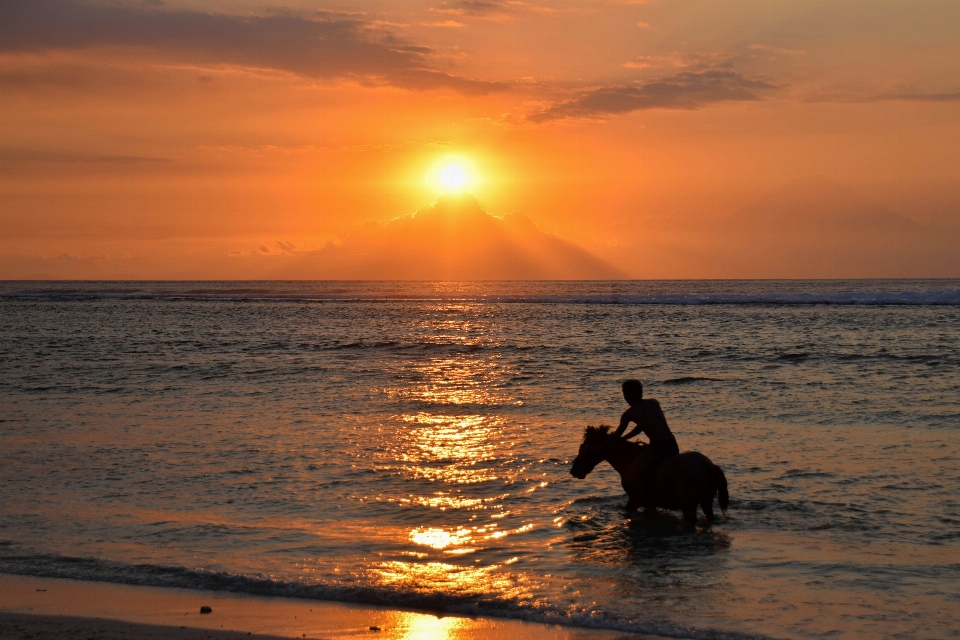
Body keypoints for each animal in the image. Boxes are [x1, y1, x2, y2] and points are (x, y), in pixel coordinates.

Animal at [568, 424, 728, 524]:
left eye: (584, 448)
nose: (574, 470)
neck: (629, 460)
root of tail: (709, 465)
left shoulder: (639, 499)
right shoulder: (635, 500)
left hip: (688, 505)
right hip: (706, 501)